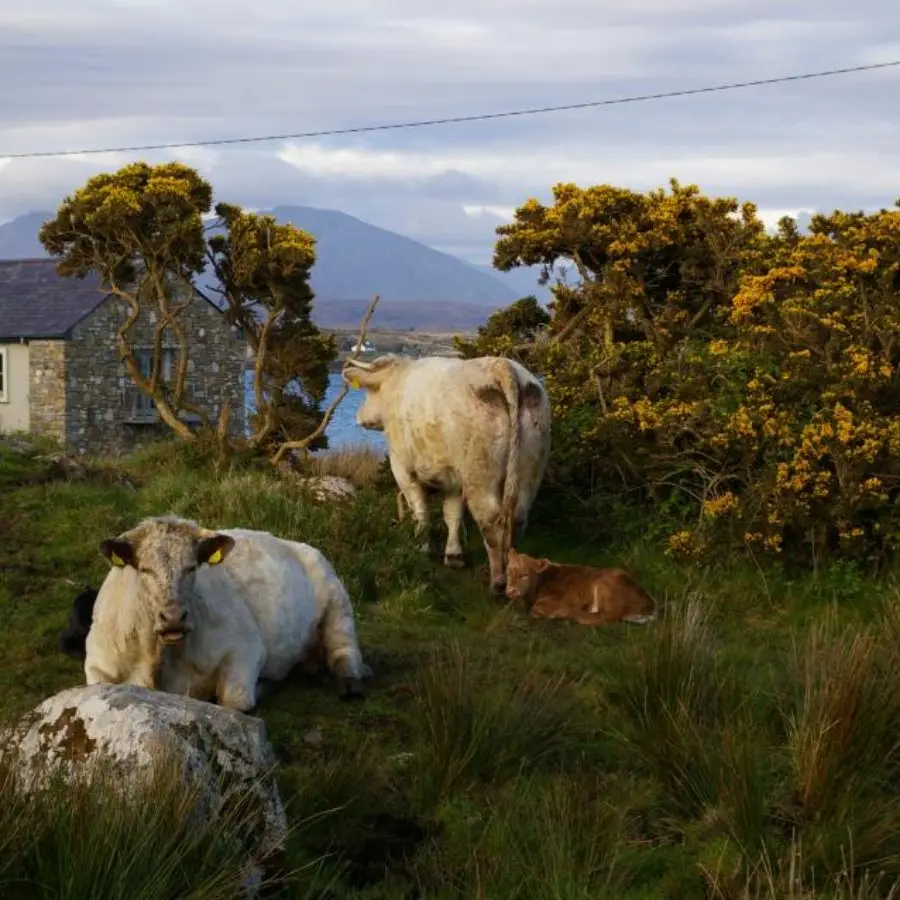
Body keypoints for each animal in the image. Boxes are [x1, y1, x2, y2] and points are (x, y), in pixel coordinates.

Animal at [84, 514, 370, 712]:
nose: (174, 617)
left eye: (192, 567)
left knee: (344, 649)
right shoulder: (98, 663)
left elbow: (233, 701)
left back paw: (349, 682)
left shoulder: (245, 646)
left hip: (338, 603)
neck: (156, 660)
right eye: (145, 569)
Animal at [343, 354, 551, 595]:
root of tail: (501, 366)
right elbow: (452, 513)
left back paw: (498, 581)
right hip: (530, 468)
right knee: (518, 516)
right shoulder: (453, 479)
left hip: (479, 474)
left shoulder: (402, 466)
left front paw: (422, 548)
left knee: (490, 520)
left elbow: (420, 510)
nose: (359, 416)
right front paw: (453, 555)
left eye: (369, 391)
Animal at [504, 548, 657, 625]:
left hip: (604, 587)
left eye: (524, 574)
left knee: (604, 617)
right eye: (508, 572)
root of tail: (649, 602)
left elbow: (536, 610)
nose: (510, 590)